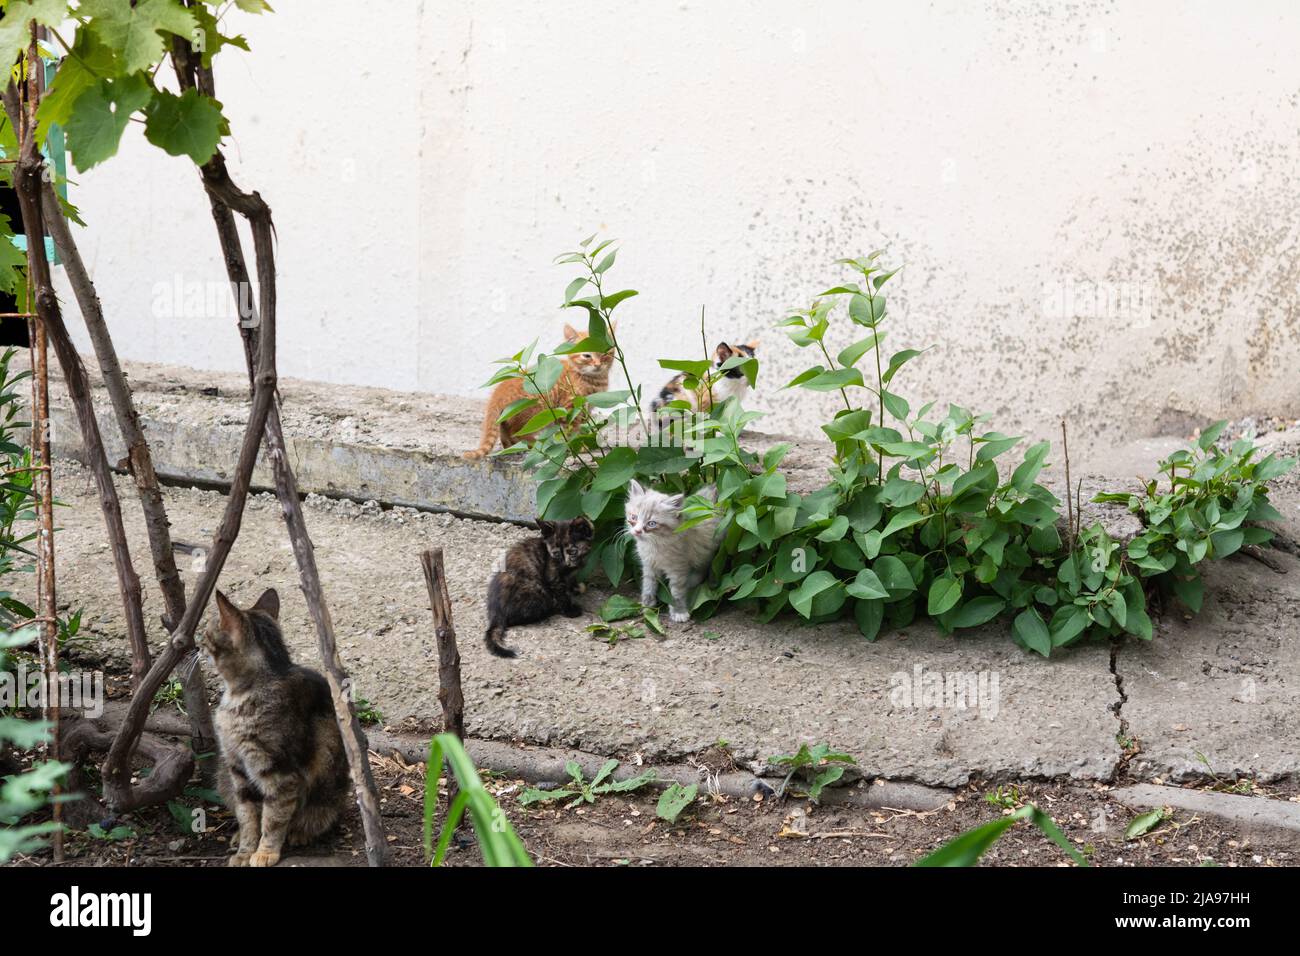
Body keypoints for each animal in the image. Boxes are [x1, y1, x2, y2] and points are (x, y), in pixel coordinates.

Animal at [198, 590, 351, 868]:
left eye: (206, 633)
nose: (196, 645)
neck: (237, 696)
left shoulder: (279, 773)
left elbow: (273, 819)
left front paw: (265, 852)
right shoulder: (238, 770)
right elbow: (248, 817)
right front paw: (245, 851)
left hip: (327, 791)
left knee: (318, 816)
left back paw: (300, 832)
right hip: (224, 777)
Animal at [462, 323, 613, 463]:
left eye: (605, 353)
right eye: (587, 355)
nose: (598, 364)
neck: (593, 378)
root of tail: (499, 391)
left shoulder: (585, 409)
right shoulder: (570, 407)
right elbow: (572, 429)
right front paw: (578, 447)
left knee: (505, 432)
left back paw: (511, 447)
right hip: (535, 410)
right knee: (516, 432)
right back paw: (537, 445)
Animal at [483, 515, 595, 658]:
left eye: (572, 552)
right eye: (556, 554)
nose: (565, 564)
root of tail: (496, 612)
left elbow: (570, 581)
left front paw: (576, 587)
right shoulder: (553, 576)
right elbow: (562, 595)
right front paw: (570, 609)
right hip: (537, 591)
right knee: (516, 618)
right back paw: (550, 610)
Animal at [621, 481, 722, 624]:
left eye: (651, 523)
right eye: (633, 517)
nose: (637, 531)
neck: (655, 545)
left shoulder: (678, 569)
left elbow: (677, 592)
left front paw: (679, 612)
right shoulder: (649, 565)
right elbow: (648, 585)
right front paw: (647, 604)